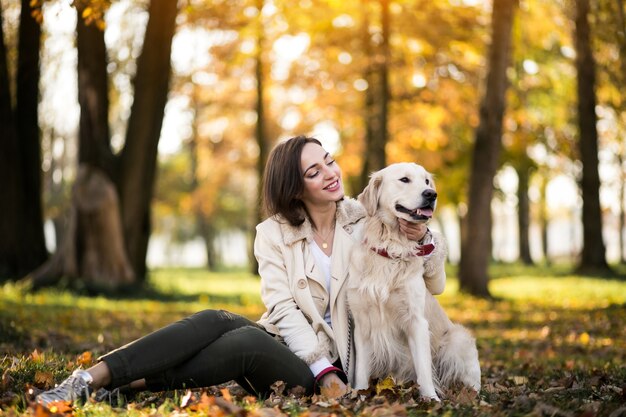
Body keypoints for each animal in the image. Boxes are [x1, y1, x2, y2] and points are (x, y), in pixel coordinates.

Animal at [346, 162, 478, 400]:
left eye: (426, 181)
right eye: (404, 180)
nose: (431, 194)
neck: (390, 248)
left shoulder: (416, 321)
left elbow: (424, 370)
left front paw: (431, 399)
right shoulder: (362, 323)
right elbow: (361, 370)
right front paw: (359, 395)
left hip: (459, 339)